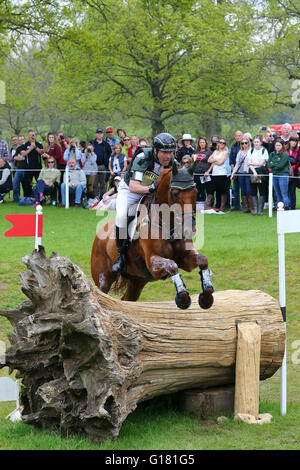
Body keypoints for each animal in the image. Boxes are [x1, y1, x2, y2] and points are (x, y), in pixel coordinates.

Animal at [90, 163, 214, 310]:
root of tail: (98, 234)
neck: (168, 224)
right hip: (103, 278)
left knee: (126, 300)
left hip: (137, 281)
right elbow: (172, 265)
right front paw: (183, 297)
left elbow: (203, 259)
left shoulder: (185, 258)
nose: (190, 229)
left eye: (195, 192)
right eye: (175, 194)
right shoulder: (152, 262)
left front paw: (206, 296)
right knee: (101, 294)